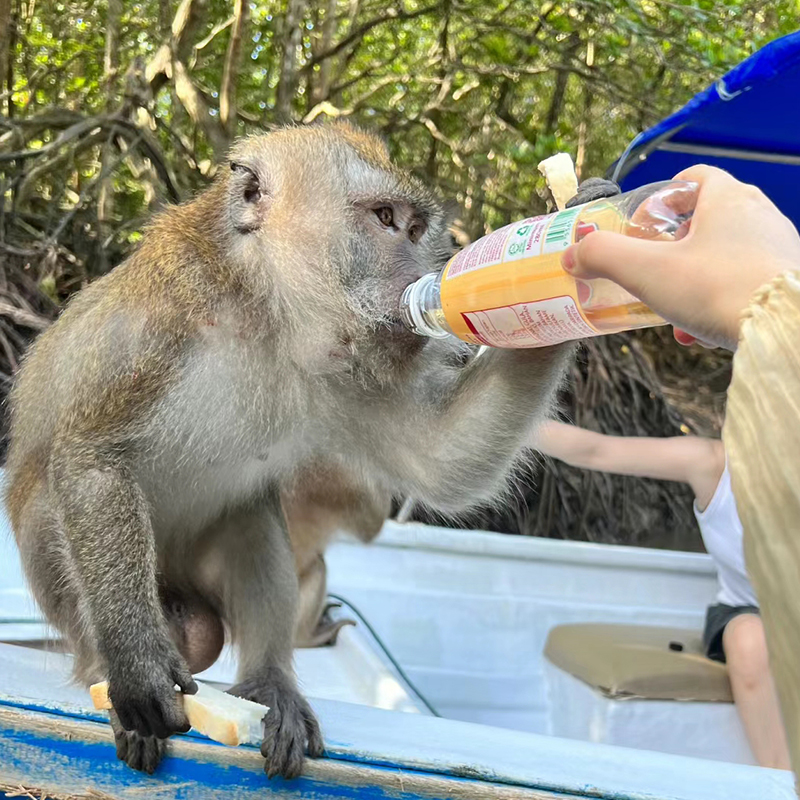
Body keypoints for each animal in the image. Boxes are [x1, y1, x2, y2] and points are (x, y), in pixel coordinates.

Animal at [3, 122, 572, 780]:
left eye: (412, 229)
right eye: (384, 219)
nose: (419, 266)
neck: (264, 314)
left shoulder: (352, 369)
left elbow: (443, 458)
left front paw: (564, 262)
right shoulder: (155, 324)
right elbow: (93, 459)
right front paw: (136, 661)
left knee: (250, 519)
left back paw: (269, 683)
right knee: (55, 501)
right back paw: (107, 669)